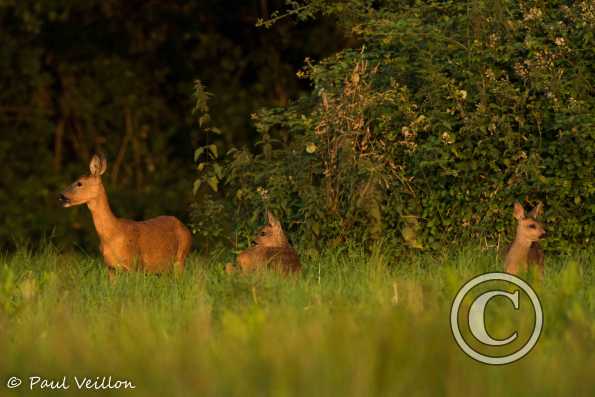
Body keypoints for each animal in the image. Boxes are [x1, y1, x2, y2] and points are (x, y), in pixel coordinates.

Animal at [58, 153, 191, 274]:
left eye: (79, 183)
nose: (61, 195)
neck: (112, 234)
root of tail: (185, 227)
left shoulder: (134, 263)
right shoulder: (110, 267)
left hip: (181, 257)